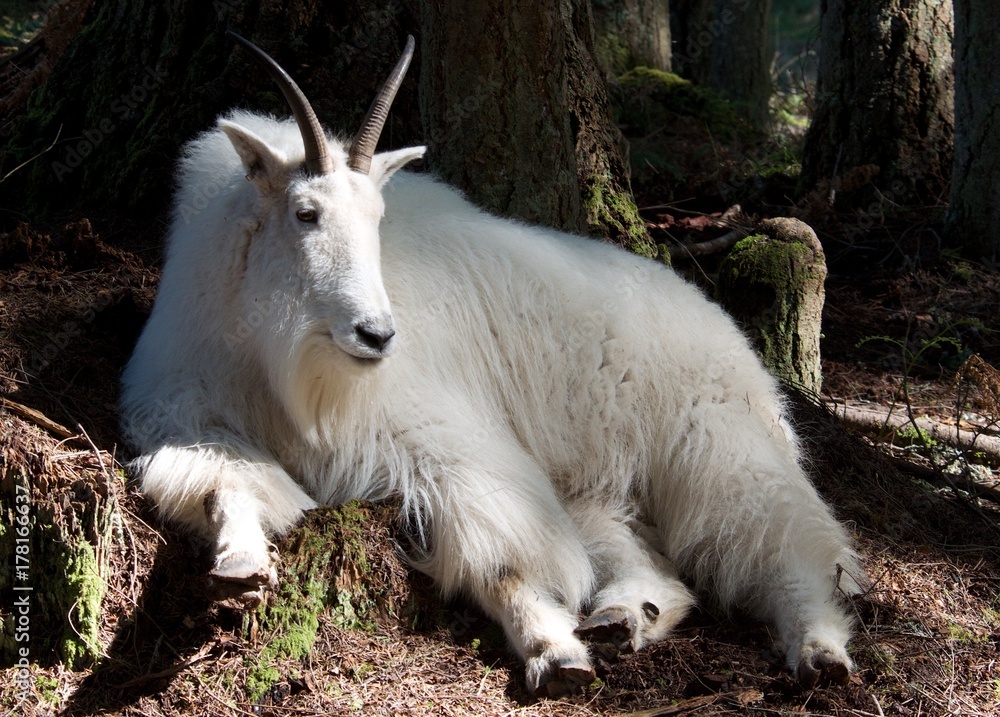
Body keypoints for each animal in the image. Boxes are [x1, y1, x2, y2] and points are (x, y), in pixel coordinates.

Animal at [120, 33, 863, 697]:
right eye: (305, 212)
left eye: (377, 217)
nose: (376, 335)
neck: (273, 351)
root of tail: (735, 344)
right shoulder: (191, 411)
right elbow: (225, 485)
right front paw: (241, 564)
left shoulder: (447, 441)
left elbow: (504, 558)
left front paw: (553, 651)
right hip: (599, 491)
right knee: (665, 570)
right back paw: (625, 618)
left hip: (719, 447)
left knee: (796, 549)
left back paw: (819, 651)